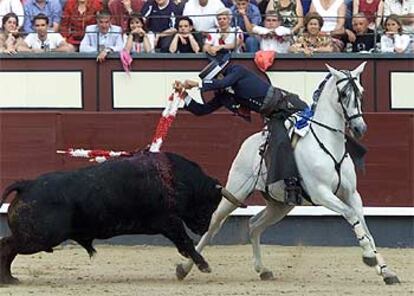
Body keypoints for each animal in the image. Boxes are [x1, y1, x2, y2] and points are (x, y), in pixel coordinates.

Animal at [0, 151, 243, 284]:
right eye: (210, 202)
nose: (205, 228)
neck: (175, 179)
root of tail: (27, 184)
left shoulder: (169, 224)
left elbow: (184, 244)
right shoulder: (169, 221)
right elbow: (186, 242)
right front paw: (204, 265)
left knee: (8, 247)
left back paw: (9, 279)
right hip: (37, 238)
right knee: (7, 245)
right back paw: (7, 279)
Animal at [175, 61, 402, 284]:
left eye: (361, 92)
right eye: (344, 94)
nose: (359, 128)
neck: (328, 142)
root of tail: (248, 144)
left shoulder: (352, 194)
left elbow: (366, 228)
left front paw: (386, 270)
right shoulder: (321, 193)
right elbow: (350, 214)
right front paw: (369, 257)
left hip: (280, 204)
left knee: (254, 225)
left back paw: (263, 270)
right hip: (236, 190)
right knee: (214, 222)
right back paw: (187, 267)